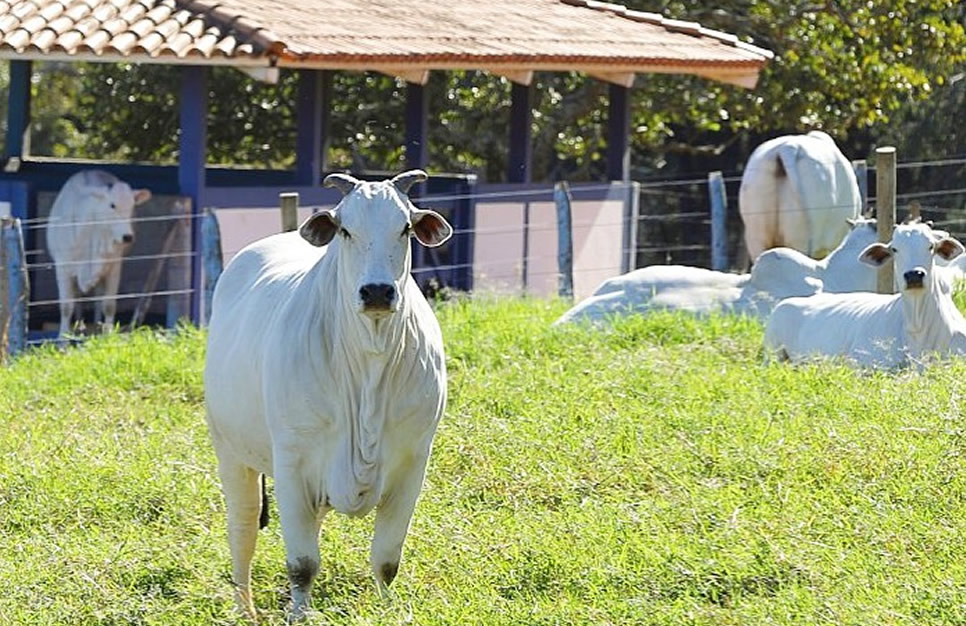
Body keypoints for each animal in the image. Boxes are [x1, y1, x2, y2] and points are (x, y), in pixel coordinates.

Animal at [44, 169, 151, 336]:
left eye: (132, 206)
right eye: (112, 205)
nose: (127, 236)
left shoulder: (114, 267)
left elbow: (109, 305)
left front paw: (108, 335)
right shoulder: (63, 267)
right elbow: (66, 307)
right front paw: (63, 338)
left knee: (98, 299)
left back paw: (96, 324)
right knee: (78, 299)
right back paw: (80, 325)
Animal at [204, 168, 454, 616]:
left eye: (405, 228)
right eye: (345, 230)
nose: (377, 292)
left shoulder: (413, 461)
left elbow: (386, 559)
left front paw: (387, 610)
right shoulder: (292, 462)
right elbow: (302, 563)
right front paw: (298, 615)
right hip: (230, 452)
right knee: (242, 530)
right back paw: (244, 609)